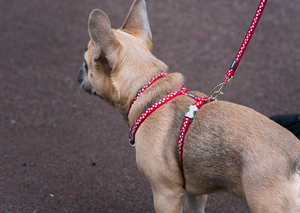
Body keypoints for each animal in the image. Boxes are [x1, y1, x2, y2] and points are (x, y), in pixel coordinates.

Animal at [78, 0, 300, 212]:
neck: (150, 92)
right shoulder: (193, 194)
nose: (79, 72)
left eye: (86, 64)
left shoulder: (165, 194)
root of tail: (296, 160)